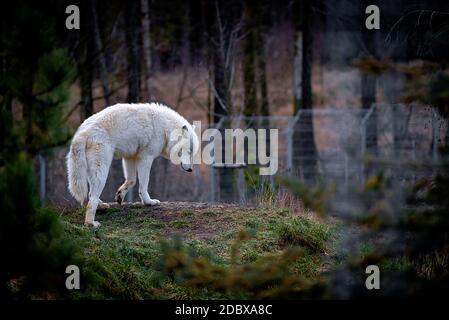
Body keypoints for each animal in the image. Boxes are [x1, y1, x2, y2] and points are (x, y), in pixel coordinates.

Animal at [66, 102, 198, 228]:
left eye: (192, 153)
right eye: (189, 151)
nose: (190, 169)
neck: (165, 129)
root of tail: (83, 132)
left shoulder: (130, 157)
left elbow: (132, 180)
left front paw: (120, 195)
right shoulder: (145, 158)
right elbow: (144, 185)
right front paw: (149, 202)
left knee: (90, 194)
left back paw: (102, 206)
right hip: (102, 170)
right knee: (91, 198)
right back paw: (91, 223)